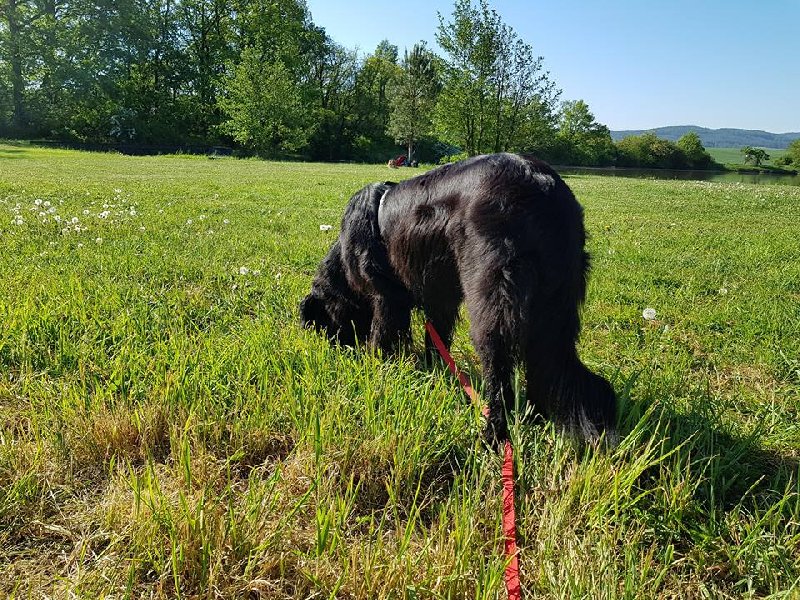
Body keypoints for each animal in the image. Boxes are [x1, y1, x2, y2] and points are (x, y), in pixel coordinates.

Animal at [302, 152, 620, 442]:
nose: (337, 350)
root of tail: (543, 185)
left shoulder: (386, 296)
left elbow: (382, 335)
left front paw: (376, 366)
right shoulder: (439, 300)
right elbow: (435, 339)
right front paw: (433, 374)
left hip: (492, 297)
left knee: (500, 373)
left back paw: (492, 433)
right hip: (556, 304)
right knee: (553, 367)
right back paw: (538, 416)